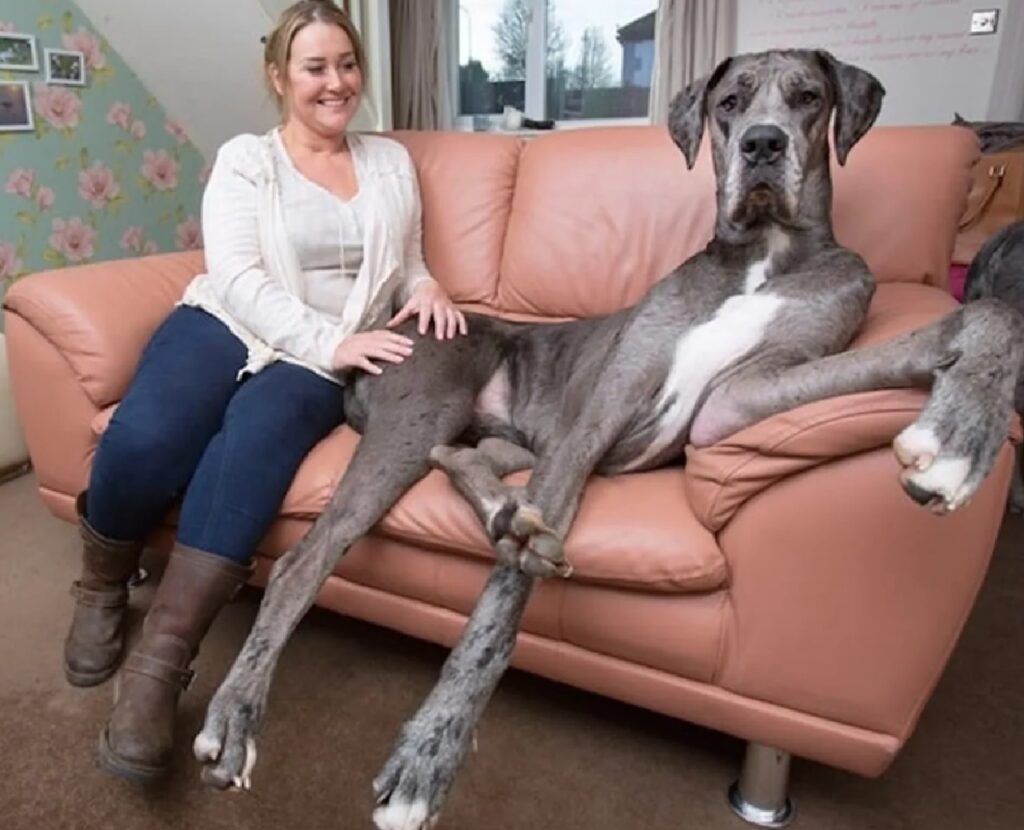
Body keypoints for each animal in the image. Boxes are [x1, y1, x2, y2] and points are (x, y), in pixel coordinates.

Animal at [190, 51, 1015, 830]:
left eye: (809, 98)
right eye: (730, 102)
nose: (763, 144)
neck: (760, 257)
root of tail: (379, 335)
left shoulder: (740, 399)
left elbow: (986, 312)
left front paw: (960, 434)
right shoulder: (596, 417)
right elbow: (496, 612)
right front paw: (432, 751)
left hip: (506, 435)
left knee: (458, 458)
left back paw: (508, 516)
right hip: (426, 413)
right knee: (302, 563)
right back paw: (235, 719)